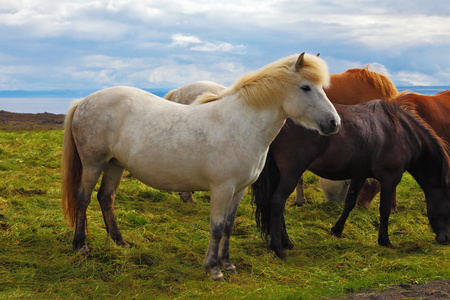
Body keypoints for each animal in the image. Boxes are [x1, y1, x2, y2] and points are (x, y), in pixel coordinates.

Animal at [60, 52, 342, 282]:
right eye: (305, 87)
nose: (334, 123)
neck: (241, 125)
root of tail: (84, 100)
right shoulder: (221, 189)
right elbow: (216, 227)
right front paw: (213, 269)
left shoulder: (239, 190)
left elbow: (228, 226)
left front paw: (227, 264)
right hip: (93, 163)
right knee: (83, 198)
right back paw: (81, 246)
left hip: (114, 165)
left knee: (106, 198)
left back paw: (120, 242)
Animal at [251, 100, 450, 258]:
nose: (446, 239)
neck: (403, 133)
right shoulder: (390, 179)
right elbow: (384, 209)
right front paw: (385, 241)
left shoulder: (359, 175)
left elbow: (350, 202)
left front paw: (337, 230)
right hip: (292, 173)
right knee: (277, 203)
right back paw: (278, 248)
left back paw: (286, 242)